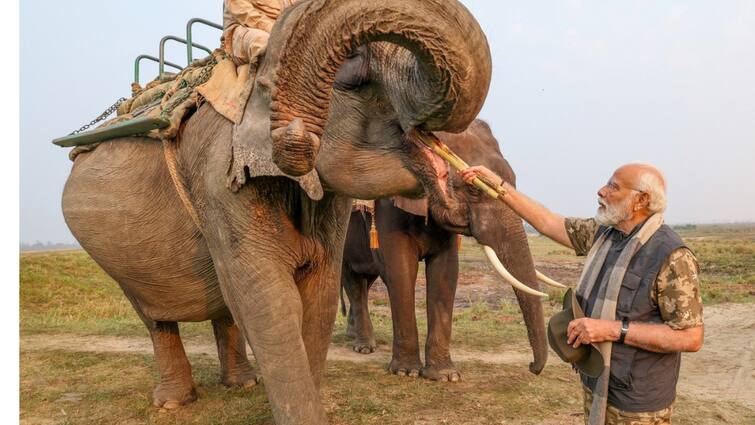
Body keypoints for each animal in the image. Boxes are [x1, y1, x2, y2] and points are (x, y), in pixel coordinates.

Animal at [62, 0, 494, 424]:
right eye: (354, 66)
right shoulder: (219, 180)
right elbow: (269, 302)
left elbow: (318, 298)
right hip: (114, 253)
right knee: (155, 317)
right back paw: (173, 403)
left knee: (224, 306)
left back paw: (241, 384)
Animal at [342, 118, 556, 378]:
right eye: (474, 189)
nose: (532, 367)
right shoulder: (389, 203)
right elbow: (400, 269)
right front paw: (405, 372)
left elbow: (446, 270)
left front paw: (444, 376)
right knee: (352, 282)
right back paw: (364, 347)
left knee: (365, 281)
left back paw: (354, 337)